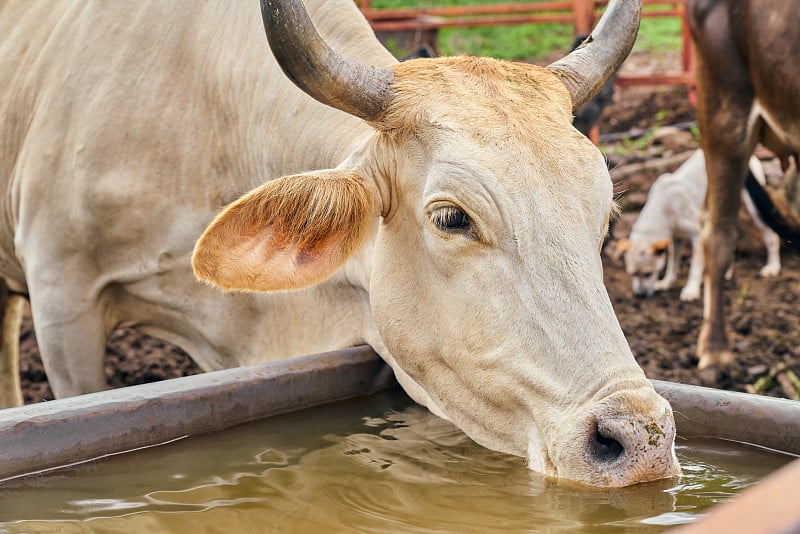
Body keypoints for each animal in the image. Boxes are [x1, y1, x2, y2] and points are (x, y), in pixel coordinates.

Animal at [616, 150, 780, 302]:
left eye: (648, 274)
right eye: (632, 274)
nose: (639, 296)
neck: (664, 207)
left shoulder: (697, 235)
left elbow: (695, 267)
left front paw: (691, 290)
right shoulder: (675, 239)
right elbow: (672, 264)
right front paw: (667, 283)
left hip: (753, 208)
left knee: (772, 237)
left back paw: (772, 267)